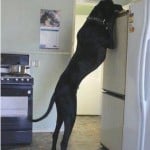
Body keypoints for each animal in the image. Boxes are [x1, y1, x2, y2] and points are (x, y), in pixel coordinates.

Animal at [31, 0, 122, 149]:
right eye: (112, 3)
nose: (121, 6)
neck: (94, 21)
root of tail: (56, 92)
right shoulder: (111, 43)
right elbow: (110, 23)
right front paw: (113, 16)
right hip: (70, 113)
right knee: (64, 140)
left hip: (61, 113)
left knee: (55, 133)